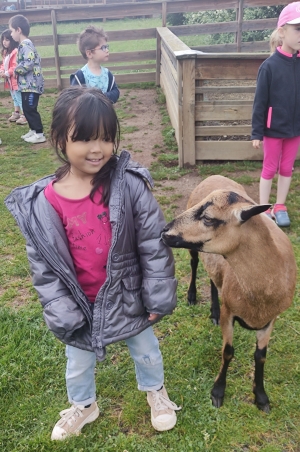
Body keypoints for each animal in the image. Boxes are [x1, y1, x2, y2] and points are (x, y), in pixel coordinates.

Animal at [161, 175, 296, 412]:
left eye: (208, 218)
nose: (164, 231)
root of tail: (215, 176)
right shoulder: (229, 312)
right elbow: (228, 352)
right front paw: (217, 393)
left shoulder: (270, 320)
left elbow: (261, 356)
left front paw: (261, 398)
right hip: (194, 250)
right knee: (194, 264)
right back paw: (192, 297)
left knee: (214, 280)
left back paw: (213, 312)